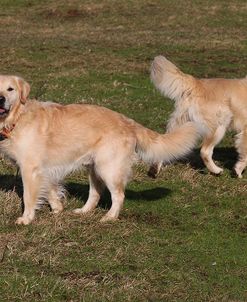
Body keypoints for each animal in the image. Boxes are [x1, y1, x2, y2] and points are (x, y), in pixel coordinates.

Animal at [0, 75, 198, 224]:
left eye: (10, 89)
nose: (1, 99)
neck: (17, 118)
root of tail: (128, 121)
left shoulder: (30, 168)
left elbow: (28, 196)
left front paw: (26, 219)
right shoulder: (42, 169)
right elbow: (50, 190)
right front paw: (57, 209)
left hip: (108, 168)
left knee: (118, 195)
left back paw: (109, 217)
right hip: (94, 168)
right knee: (95, 193)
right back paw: (83, 211)